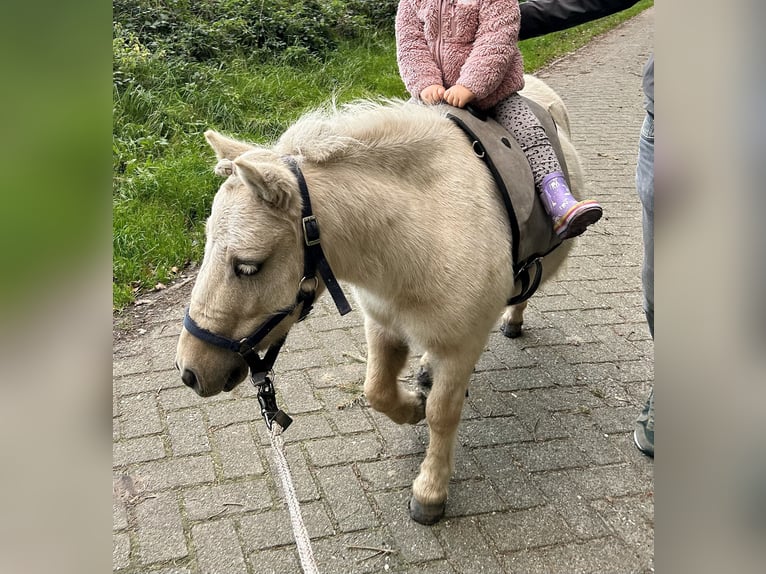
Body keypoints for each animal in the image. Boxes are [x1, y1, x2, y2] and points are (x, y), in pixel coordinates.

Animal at [177, 76, 584, 528]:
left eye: (248, 266)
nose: (190, 372)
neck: (425, 233)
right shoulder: (384, 325)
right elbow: (377, 391)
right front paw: (413, 408)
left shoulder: (460, 346)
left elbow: (443, 414)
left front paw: (430, 491)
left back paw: (512, 319)